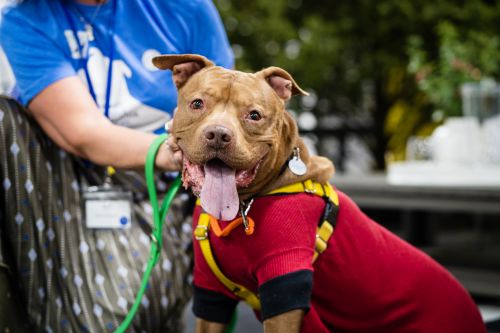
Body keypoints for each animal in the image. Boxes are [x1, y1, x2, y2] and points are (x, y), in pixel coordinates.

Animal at [152, 53, 484, 332]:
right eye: (197, 104)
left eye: (254, 115)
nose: (218, 134)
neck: (245, 205)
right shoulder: (210, 295)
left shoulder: (284, 288)